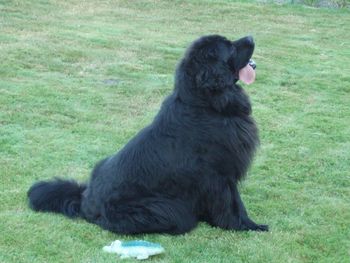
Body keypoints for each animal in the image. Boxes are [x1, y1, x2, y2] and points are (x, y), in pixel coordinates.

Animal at [28, 35, 268, 235]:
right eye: (230, 46)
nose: (251, 36)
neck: (205, 103)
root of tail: (85, 200)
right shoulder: (220, 175)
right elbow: (233, 204)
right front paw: (247, 226)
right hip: (166, 210)